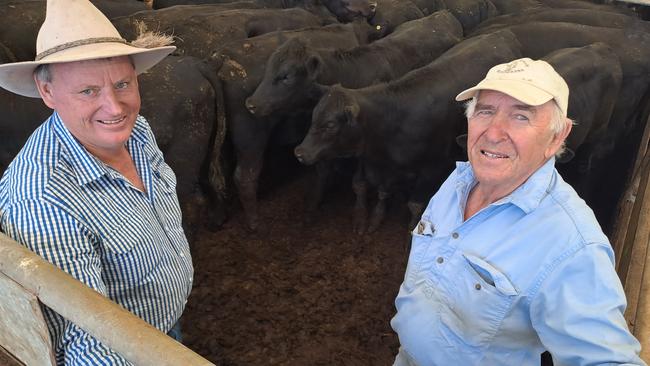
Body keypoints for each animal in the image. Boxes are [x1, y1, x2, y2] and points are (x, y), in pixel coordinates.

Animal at [209, 23, 362, 232]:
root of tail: (222, 56)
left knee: (217, 174)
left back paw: (219, 217)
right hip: (250, 140)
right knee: (245, 176)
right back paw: (254, 223)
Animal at [294, 30, 520, 233]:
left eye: (330, 125)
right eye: (314, 115)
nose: (300, 152)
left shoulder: (433, 167)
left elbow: (415, 205)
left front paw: (412, 228)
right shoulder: (387, 167)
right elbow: (382, 192)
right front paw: (375, 219)